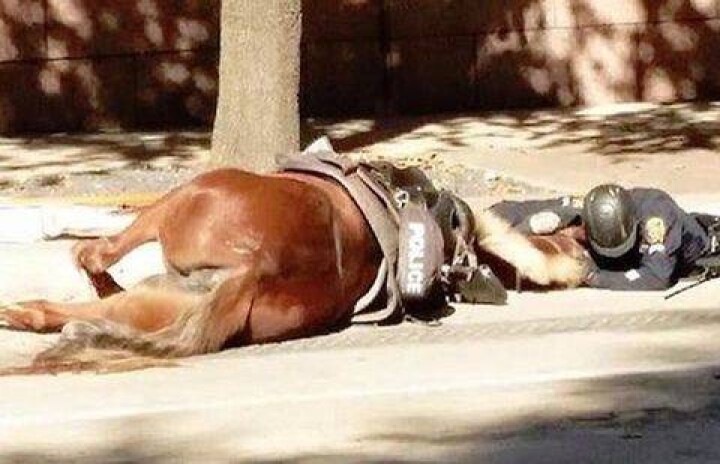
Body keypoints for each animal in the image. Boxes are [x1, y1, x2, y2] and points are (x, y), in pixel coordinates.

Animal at [0, 161, 590, 374]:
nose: (585, 261)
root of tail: (253, 270)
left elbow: (89, 244)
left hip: (179, 201)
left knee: (90, 262)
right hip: (157, 296)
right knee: (74, 308)